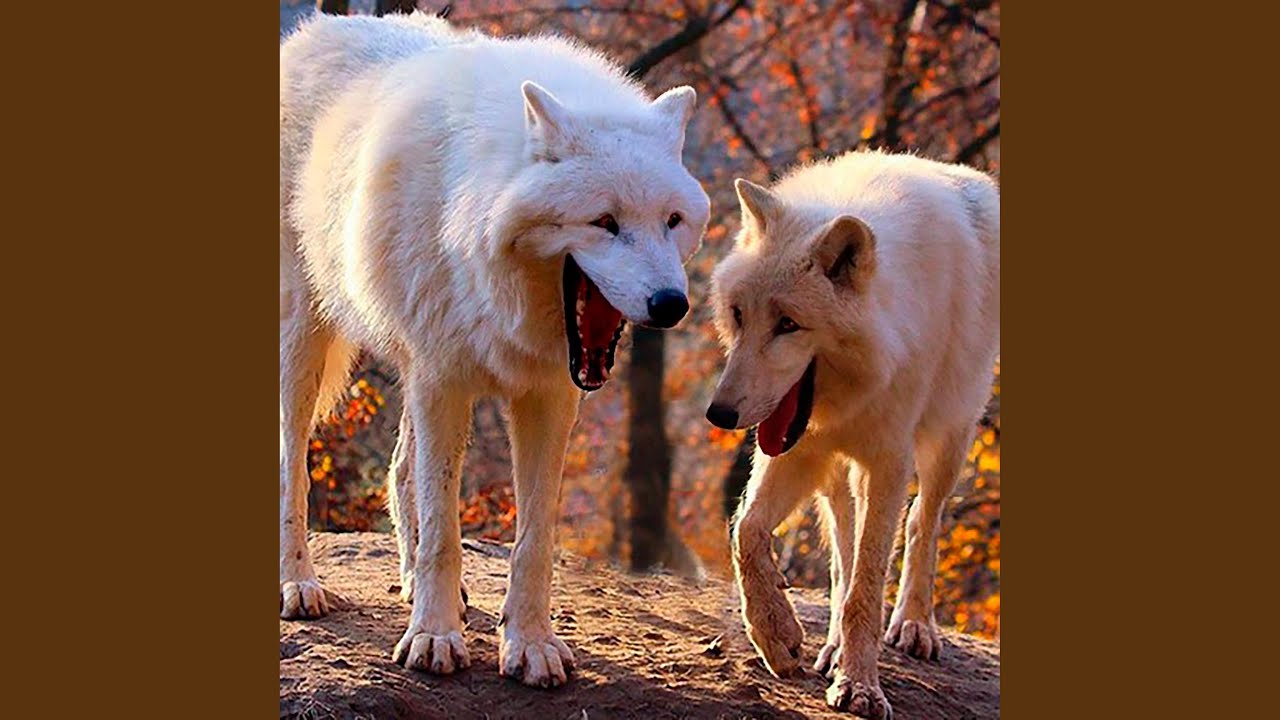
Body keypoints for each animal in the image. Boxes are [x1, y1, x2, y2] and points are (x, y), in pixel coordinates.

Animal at [279, 12, 708, 688]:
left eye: (671, 221)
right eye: (605, 222)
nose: (672, 305)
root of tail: (318, 26)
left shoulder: (547, 395)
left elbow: (533, 540)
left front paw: (529, 644)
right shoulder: (444, 379)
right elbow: (445, 534)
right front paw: (433, 639)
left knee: (400, 467)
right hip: (308, 343)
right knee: (293, 461)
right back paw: (300, 584)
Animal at [706, 151, 999, 716]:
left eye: (788, 324)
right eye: (739, 314)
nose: (719, 414)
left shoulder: (887, 462)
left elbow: (868, 584)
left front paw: (861, 686)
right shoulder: (797, 449)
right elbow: (746, 531)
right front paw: (777, 636)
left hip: (949, 438)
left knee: (921, 521)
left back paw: (913, 625)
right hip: (835, 473)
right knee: (841, 548)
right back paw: (832, 646)